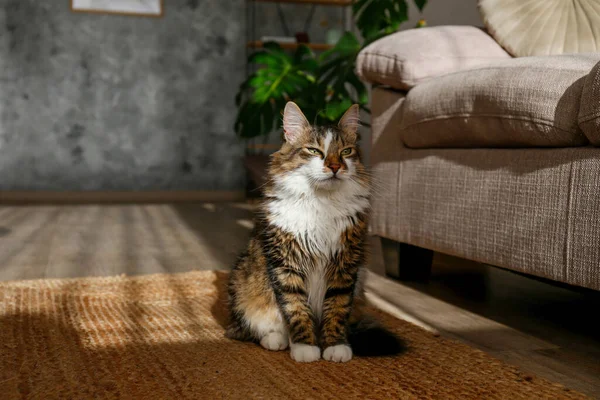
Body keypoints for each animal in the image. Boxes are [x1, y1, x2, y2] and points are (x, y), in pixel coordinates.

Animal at [226, 102, 404, 362]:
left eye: (346, 152)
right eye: (314, 151)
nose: (335, 166)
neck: (322, 205)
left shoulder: (345, 264)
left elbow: (337, 309)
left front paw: (335, 347)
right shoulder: (286, 264)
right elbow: (296, 308)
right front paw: (305, 347)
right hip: (242, 283)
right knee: (250, 327)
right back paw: (277, 340)